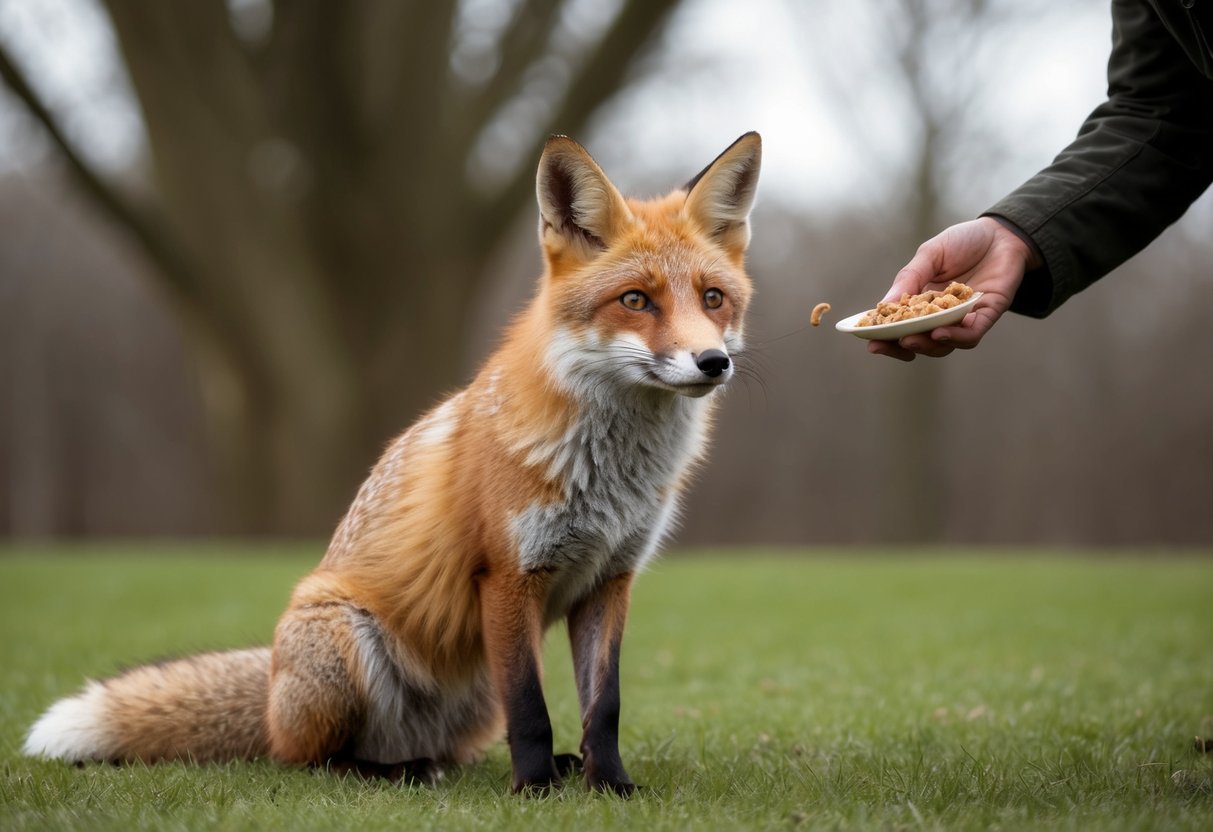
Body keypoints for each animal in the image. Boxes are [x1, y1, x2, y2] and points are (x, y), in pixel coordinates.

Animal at [24, 131, 762, 794]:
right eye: (635, 300)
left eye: (712, 299)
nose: (712, 362)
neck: (612, 474)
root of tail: (270, 693)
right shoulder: (506, 577)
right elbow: (531, 709)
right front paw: (533, 790)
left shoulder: (609, 579)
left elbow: (601, 707)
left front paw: (607, 784)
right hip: (345, 642)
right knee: (310, 761)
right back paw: (402, 773)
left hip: (473, 693)